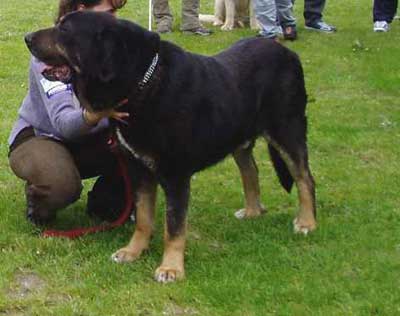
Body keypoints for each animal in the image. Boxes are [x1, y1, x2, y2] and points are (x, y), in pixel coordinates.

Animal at [26, 11, 318, 284]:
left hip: (287, 130)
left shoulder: (176, 175)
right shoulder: (139, 169)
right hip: (239, 138)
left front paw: (171, 268)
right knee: (251, 171)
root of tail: (288, 52)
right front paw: (133, 251)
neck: (141, 84)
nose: (27, 38)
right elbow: (144, 217)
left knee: (305, 178)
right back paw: (252, 212)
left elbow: (174, 226)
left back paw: (306, 222)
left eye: (65, 29)